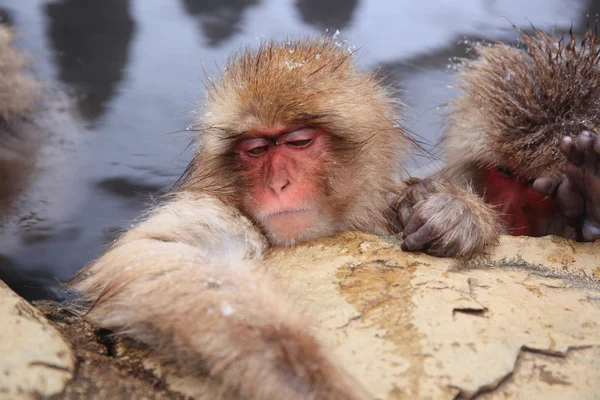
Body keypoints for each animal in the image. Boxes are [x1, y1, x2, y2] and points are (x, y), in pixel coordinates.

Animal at [71, 38, 502, 400]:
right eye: (256, 149)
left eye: (298, 141)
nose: (278, 184)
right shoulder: (224, 211)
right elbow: (155, 252)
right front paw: (308, 380)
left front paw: (453, 212)